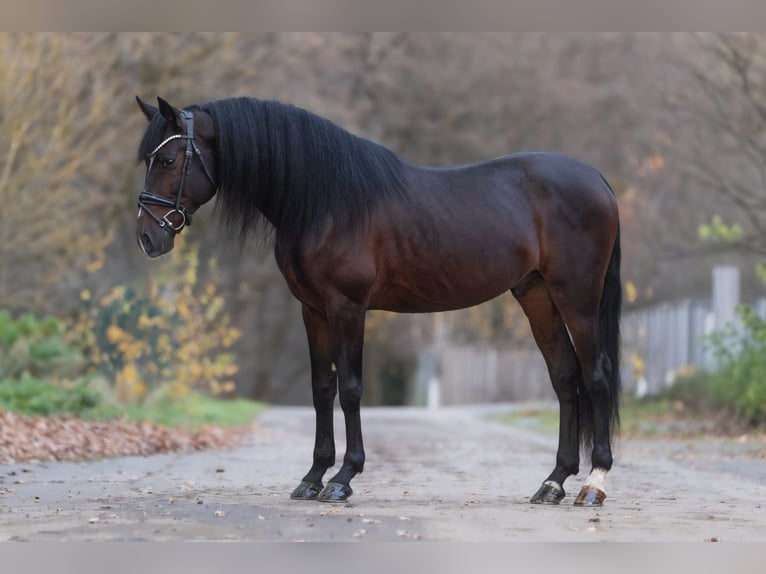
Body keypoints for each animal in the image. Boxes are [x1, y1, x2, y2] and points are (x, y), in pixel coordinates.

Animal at [134, 95, 622, 507]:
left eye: (169, 159)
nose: (147, 238)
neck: (325, 199)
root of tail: (597, 179)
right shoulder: (312, 310)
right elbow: (322, 388)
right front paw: (312, 477)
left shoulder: (348, 307)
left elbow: (351, 389)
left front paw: (342, 479)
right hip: (536, 295)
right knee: (565, 378)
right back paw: (553, 483)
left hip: (577, 298)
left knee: (596, 375)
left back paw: (594, 484)